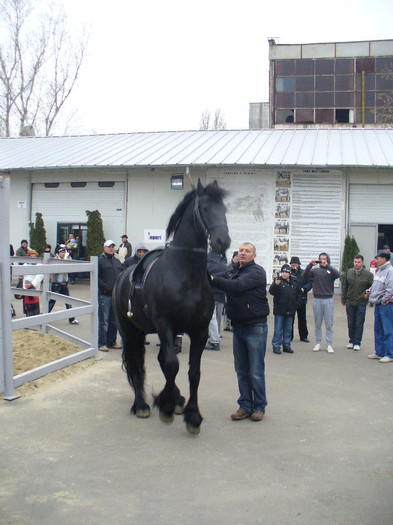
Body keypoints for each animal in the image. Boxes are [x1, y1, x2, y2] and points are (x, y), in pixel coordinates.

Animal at [112, 180, 230, 434]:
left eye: (224, 210)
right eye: (204, 208)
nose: (222, 242)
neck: (184, 274)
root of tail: (121, 277)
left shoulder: (199, 331)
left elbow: (193, 372)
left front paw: (192, 415)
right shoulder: (165, 325)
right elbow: (173, 365)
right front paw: (165, 407)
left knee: (159, 361)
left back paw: (174, 399)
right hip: (129, 332)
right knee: (136, 364)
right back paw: (142, 405)